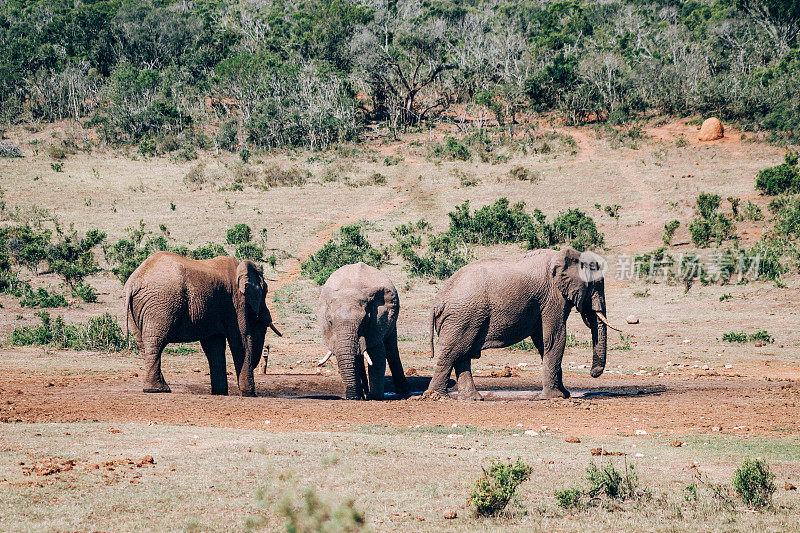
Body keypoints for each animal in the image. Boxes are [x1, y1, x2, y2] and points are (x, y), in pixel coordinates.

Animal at [125, 252, 284, 394]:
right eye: (265, 292)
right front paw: (249, 394)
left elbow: (214, 346)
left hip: (142, 309)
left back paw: (156, 388)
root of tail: (133, 282)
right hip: (161, 303)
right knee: (156, 342)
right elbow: (241, 341)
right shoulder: (236, 302)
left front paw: (220, 393)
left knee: (144, 345)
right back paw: (157, 389)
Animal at [316, 262, 410, 400]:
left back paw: (402, 391)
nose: (351, 397)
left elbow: (377, 354)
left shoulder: (377, 322)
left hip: (392, 316)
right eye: (330, 322)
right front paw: (358, 396)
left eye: (364, 321)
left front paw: (374, 397)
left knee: (391, 347)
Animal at [424, 246, 620, 400]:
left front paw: (564, 394)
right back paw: (437, 397)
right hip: (463, 316)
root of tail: (438, 301)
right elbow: (555, 338)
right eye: (597, 284)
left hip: (463, 318)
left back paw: (472, 399)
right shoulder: (553, 298)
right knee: (452, 354)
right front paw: (555, 397)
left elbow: (542, 341)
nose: (593, 373)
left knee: (462, 354)